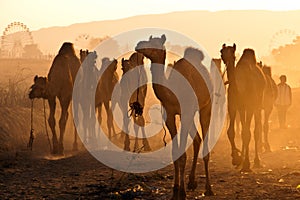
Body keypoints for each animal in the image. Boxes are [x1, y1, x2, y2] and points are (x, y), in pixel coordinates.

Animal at [136, 34, 213, 198]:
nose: (139, 44)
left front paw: (182, 192)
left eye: (156, 43)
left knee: (204, 142)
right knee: (197, 139)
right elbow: (175, 153)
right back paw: (192, 182)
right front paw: (176, 188)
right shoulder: (170, 116)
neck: (172, 93)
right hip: (189, 114)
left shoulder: (186, 112)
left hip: (206, 107)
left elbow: (182, 155)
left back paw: (208, 188)